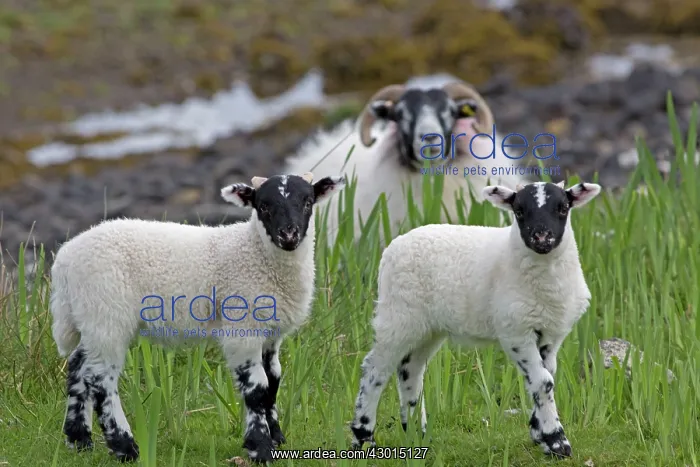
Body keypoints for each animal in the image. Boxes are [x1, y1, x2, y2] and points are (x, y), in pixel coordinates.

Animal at [49, 172, 346, 463]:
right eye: (263, 206)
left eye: (307, 203)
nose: (288, 234)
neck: (254, 252)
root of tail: (64, 260)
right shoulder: (242, 327)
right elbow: (257, 389)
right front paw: (260, 448)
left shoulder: (271, 333)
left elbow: (273, 382)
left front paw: (277, 438)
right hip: (107, 312)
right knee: (101, 380)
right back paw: (124, 447)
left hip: (91, 318)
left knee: (78, 365)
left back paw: (79, 440)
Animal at [350, 180, 602, 458]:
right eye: (519, 211)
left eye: (563, 208)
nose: (541, 237)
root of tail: (393, 247)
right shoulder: (516, 330)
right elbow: (543, 382)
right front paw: (556, 441)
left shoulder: (549, 333)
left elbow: (545, 377)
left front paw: (539, 434)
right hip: (398, 315)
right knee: (375, 370)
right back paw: (364, 437)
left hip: (427, 327)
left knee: (410, 369)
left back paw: (418, 433)